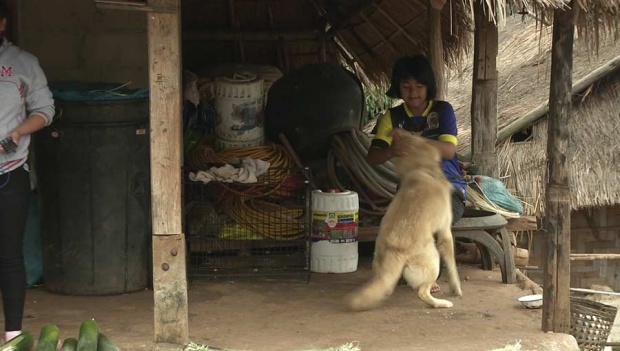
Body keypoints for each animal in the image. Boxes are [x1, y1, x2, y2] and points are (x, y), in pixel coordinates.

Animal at [346, 129, 462, 310]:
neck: (423, 168)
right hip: (434, 259)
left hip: (379, 262)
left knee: (383, 287)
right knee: (422, 292)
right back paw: (440, 303)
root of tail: (395, 250)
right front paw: (456, 288)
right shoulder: (445, 232)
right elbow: (452, 266)